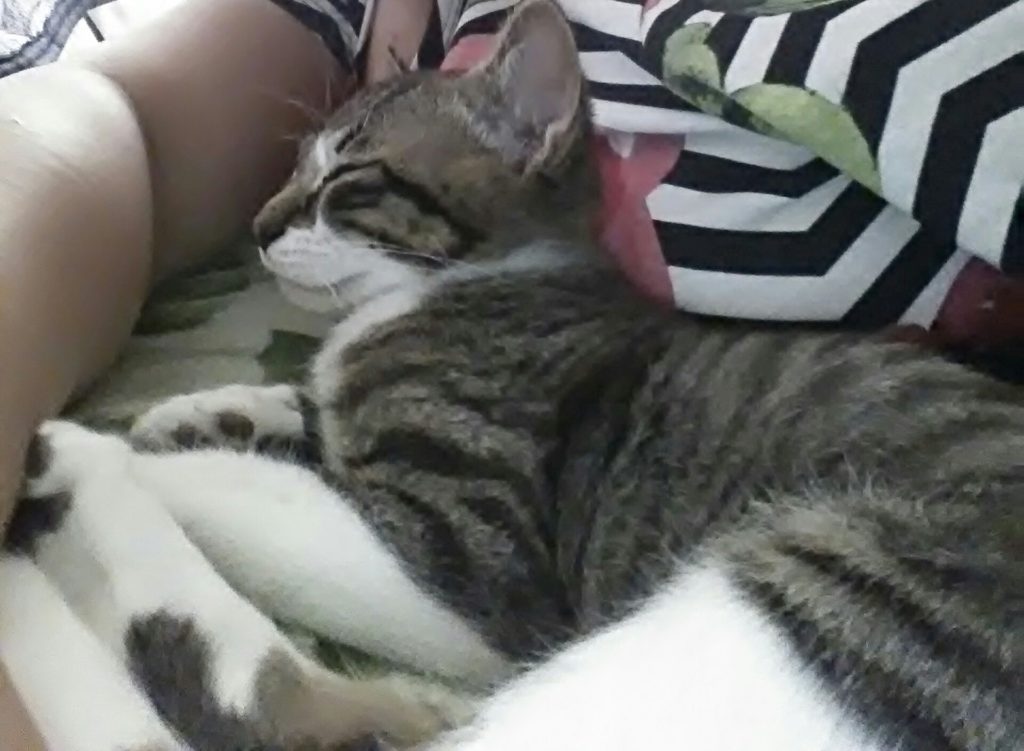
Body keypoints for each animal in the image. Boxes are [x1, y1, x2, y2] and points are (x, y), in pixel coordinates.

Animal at [4, 1, 1024, 750]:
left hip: (837, 615)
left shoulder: (468, 553)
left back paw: (68, 476)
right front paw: (208, 409)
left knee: (298, 709)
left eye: (347, 182)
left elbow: (254, 489)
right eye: (292, 169)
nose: (257, 226)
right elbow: (303, 409)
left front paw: (146, 447)